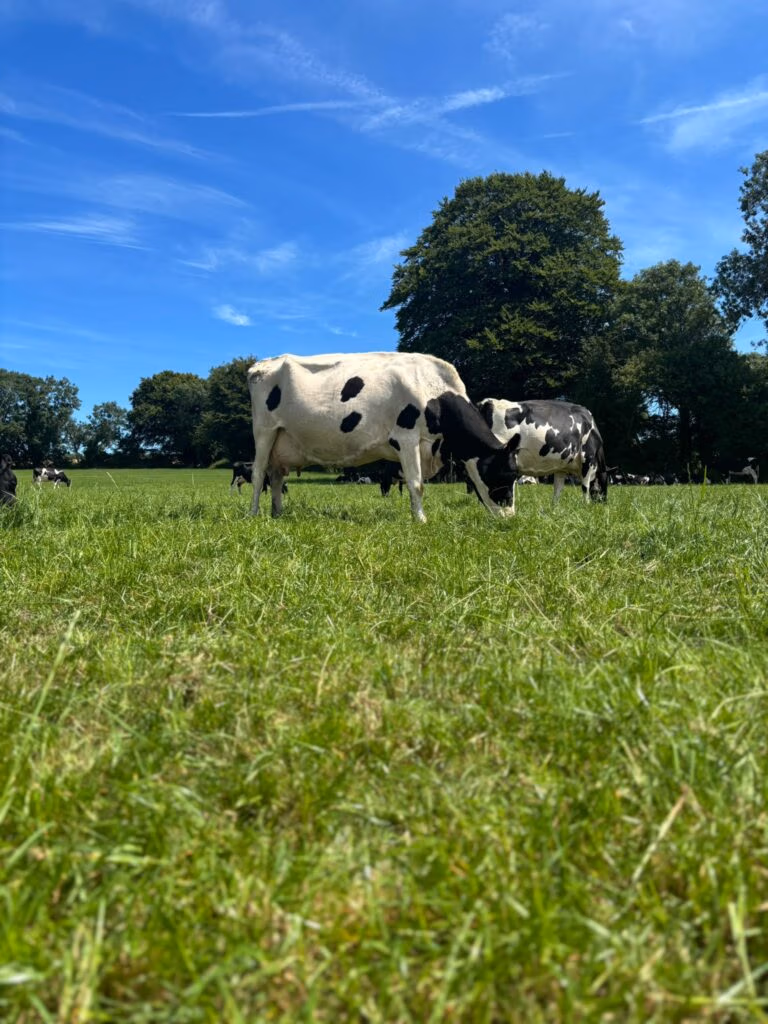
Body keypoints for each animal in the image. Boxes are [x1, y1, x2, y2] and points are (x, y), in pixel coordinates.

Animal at [247, 352, 519, 522]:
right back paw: (253, 514)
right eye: (505, 475)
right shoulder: (406, 438)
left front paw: (416, 516)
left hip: (281, 443)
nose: (510, 518)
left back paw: (277, 513)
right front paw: (421, 520)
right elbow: (416, 484)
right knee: (259, 474)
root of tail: (261, 364)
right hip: (264, 432)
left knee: (276, 478)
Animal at [477, 398, 608, 512]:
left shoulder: (561, 468)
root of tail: (488, 402)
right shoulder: (588, 458)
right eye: (605, 484)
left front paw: (554, 509)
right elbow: (585, 486)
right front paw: (586, 505)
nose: (604, 504)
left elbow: (558, 489)